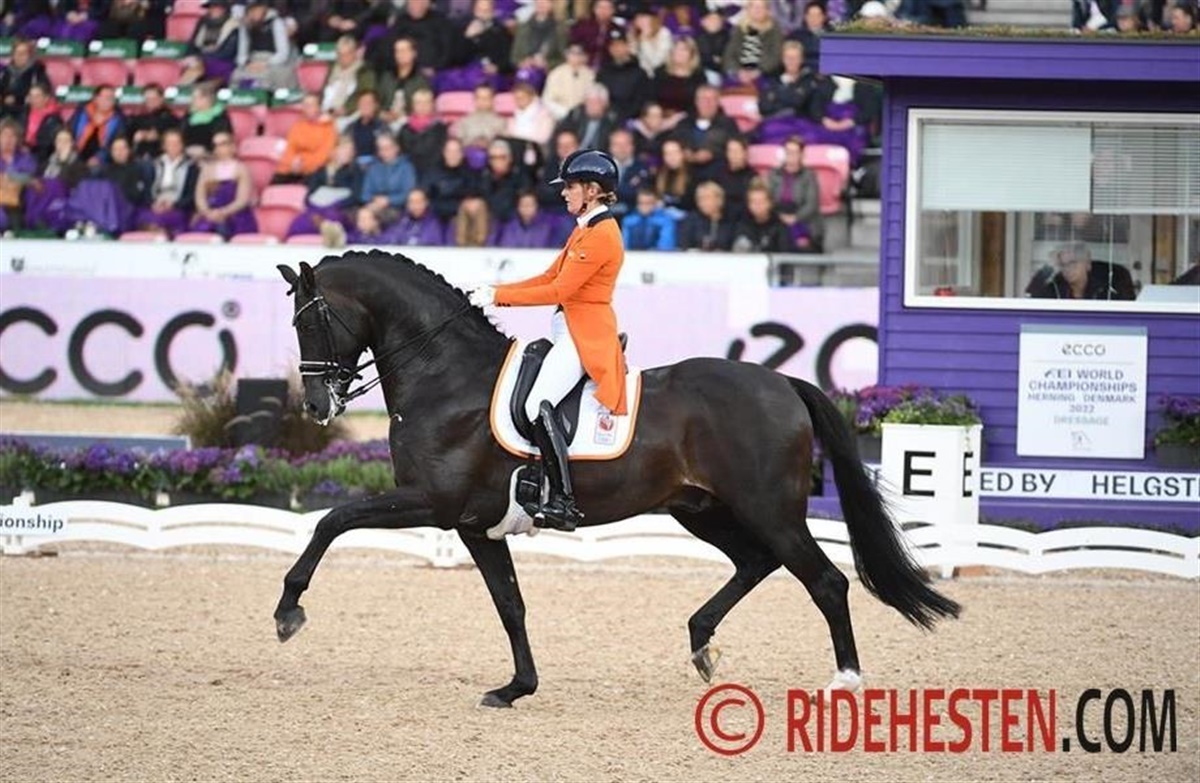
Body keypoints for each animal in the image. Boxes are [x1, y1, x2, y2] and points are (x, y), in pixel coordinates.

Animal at [273, 250, 960, 708]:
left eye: (311, 322)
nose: (318, 407)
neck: (446, 378)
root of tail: (783, 382)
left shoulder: (433, 503)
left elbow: (331, 520)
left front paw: (288, 611)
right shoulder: (474, 525)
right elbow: (510, 604)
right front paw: (517, 687)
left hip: (769, 509)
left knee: (824, 580)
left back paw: (844, 679)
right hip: (702, 509)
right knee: (756, 562)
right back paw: (702, 645)